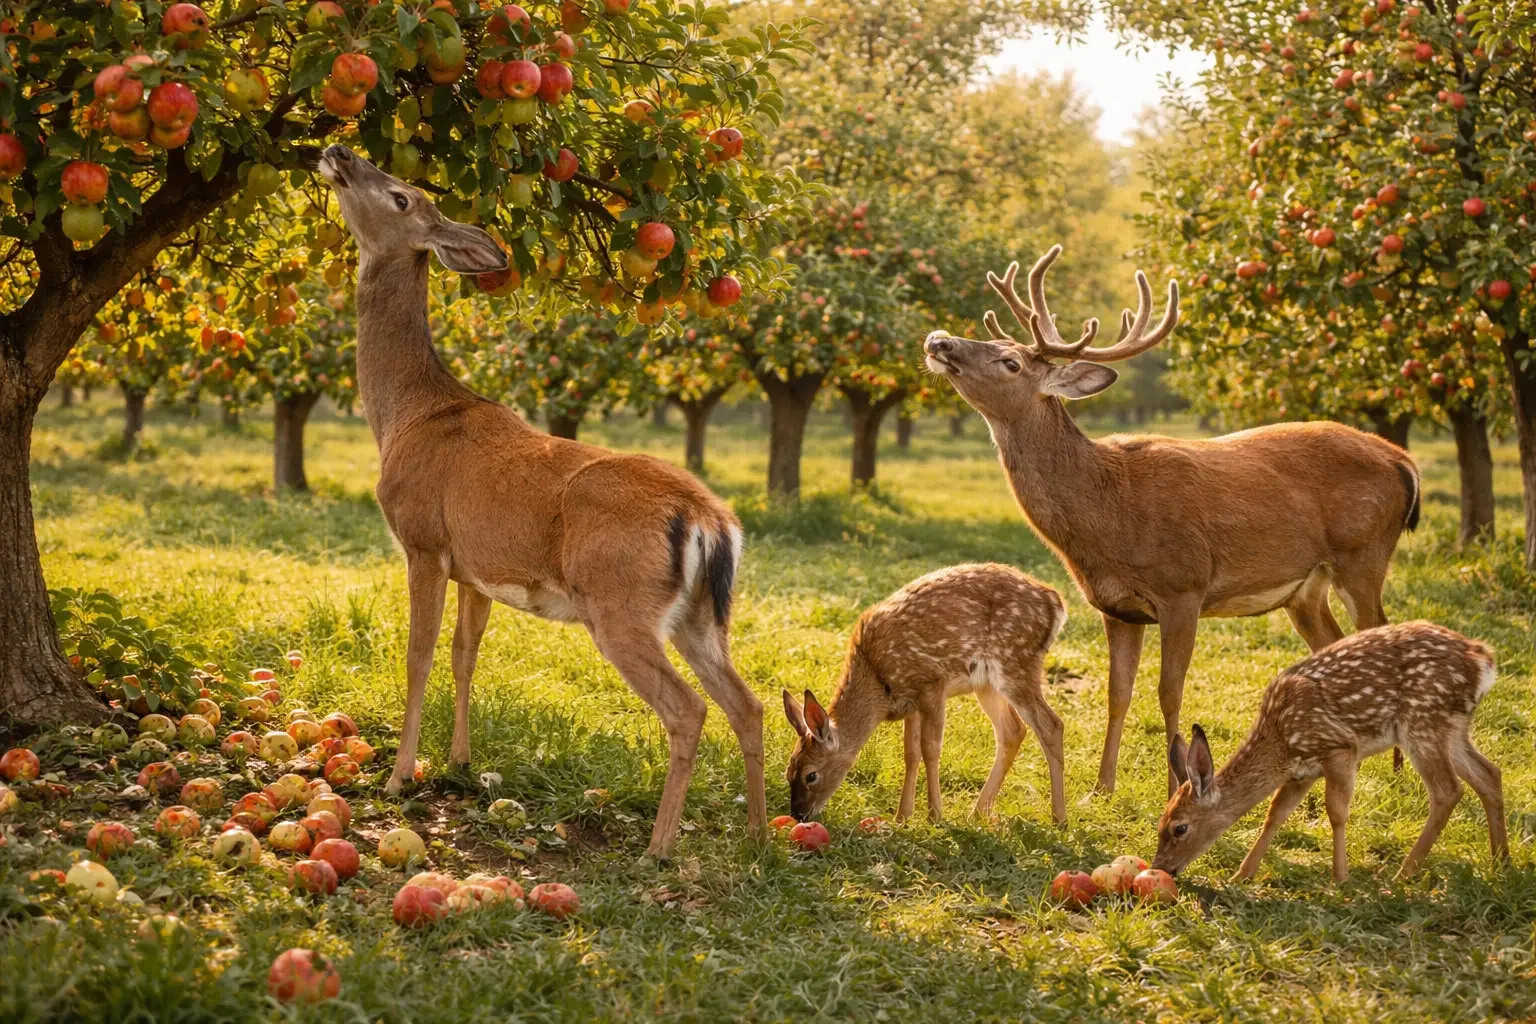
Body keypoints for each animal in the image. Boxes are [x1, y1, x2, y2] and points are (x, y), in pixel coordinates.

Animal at [315, 144, 764, 859]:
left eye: (401, 196)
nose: (338, 151)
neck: (406, 414)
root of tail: (709, 520)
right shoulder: (475, 568)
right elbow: (464, 656)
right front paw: (460, 762)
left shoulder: (423, 541)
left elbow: (417, 657)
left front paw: (399, 776)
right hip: (700, 613)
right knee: (746, 704)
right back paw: (757, 836)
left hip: (618, 601)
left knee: (688, 708)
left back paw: (659, 847)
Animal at [782, 563, 1068, 826]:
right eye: (788, 770)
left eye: (811, 775)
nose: (798, 814)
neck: (877, 680)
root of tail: (1057, 602)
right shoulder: (910, 702)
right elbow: (910, 754)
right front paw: (902, 816)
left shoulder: (932, 684)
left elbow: (930, 749)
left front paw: (934, 815)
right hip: (988, 684)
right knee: (1013, 730)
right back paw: (977, 813)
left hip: (1016, 662)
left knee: (1051, 725)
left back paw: (1059, 818)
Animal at [924, 246, 1421, 795]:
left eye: (1010, 361)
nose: (939, 340)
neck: (1107, 512)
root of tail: (1403, 461)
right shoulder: (1115, 606)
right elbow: (1118, 692)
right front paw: (1101, 788)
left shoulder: (1184, 586)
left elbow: (1169, 690)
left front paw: (1174, 785)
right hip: (1305, 589)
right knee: (1334, 646)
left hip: (1364, 553)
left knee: (1383, 635)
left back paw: (1398, 773)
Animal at [1154, 621, 1506, 882]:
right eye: (1161, 822)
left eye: (1179, 828)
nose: (1161, 868)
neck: (1280, 741)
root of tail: (1484, 660)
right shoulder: (1302, 772)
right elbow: (1275, 814)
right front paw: (1242, 875)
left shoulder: (1338, 747)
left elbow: (1336, 811)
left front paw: (1340, 876)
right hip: (1452, 727)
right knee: (1489, 773)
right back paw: (1501, 861)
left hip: (1423, 722)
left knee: (1448, 790)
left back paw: (1403, 875)